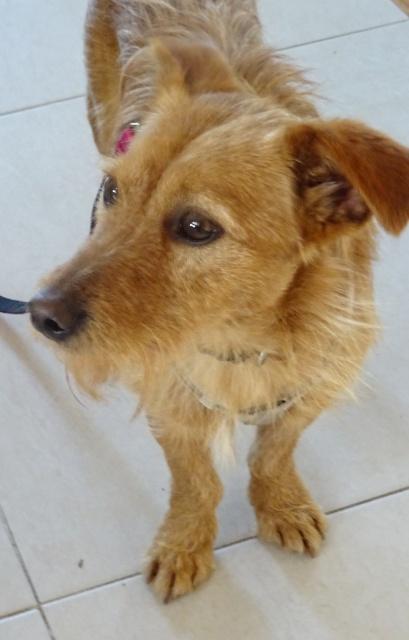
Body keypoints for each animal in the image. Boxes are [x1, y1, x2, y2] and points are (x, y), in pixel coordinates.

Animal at [28, 0, 409, 602]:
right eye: (112, 192)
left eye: (196, 227)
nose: (40, 314)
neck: (244, 337)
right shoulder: (169, 400)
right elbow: (195, 479)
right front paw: (184, 543)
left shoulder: (315, 387)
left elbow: (274, 451)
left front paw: (281, 503)